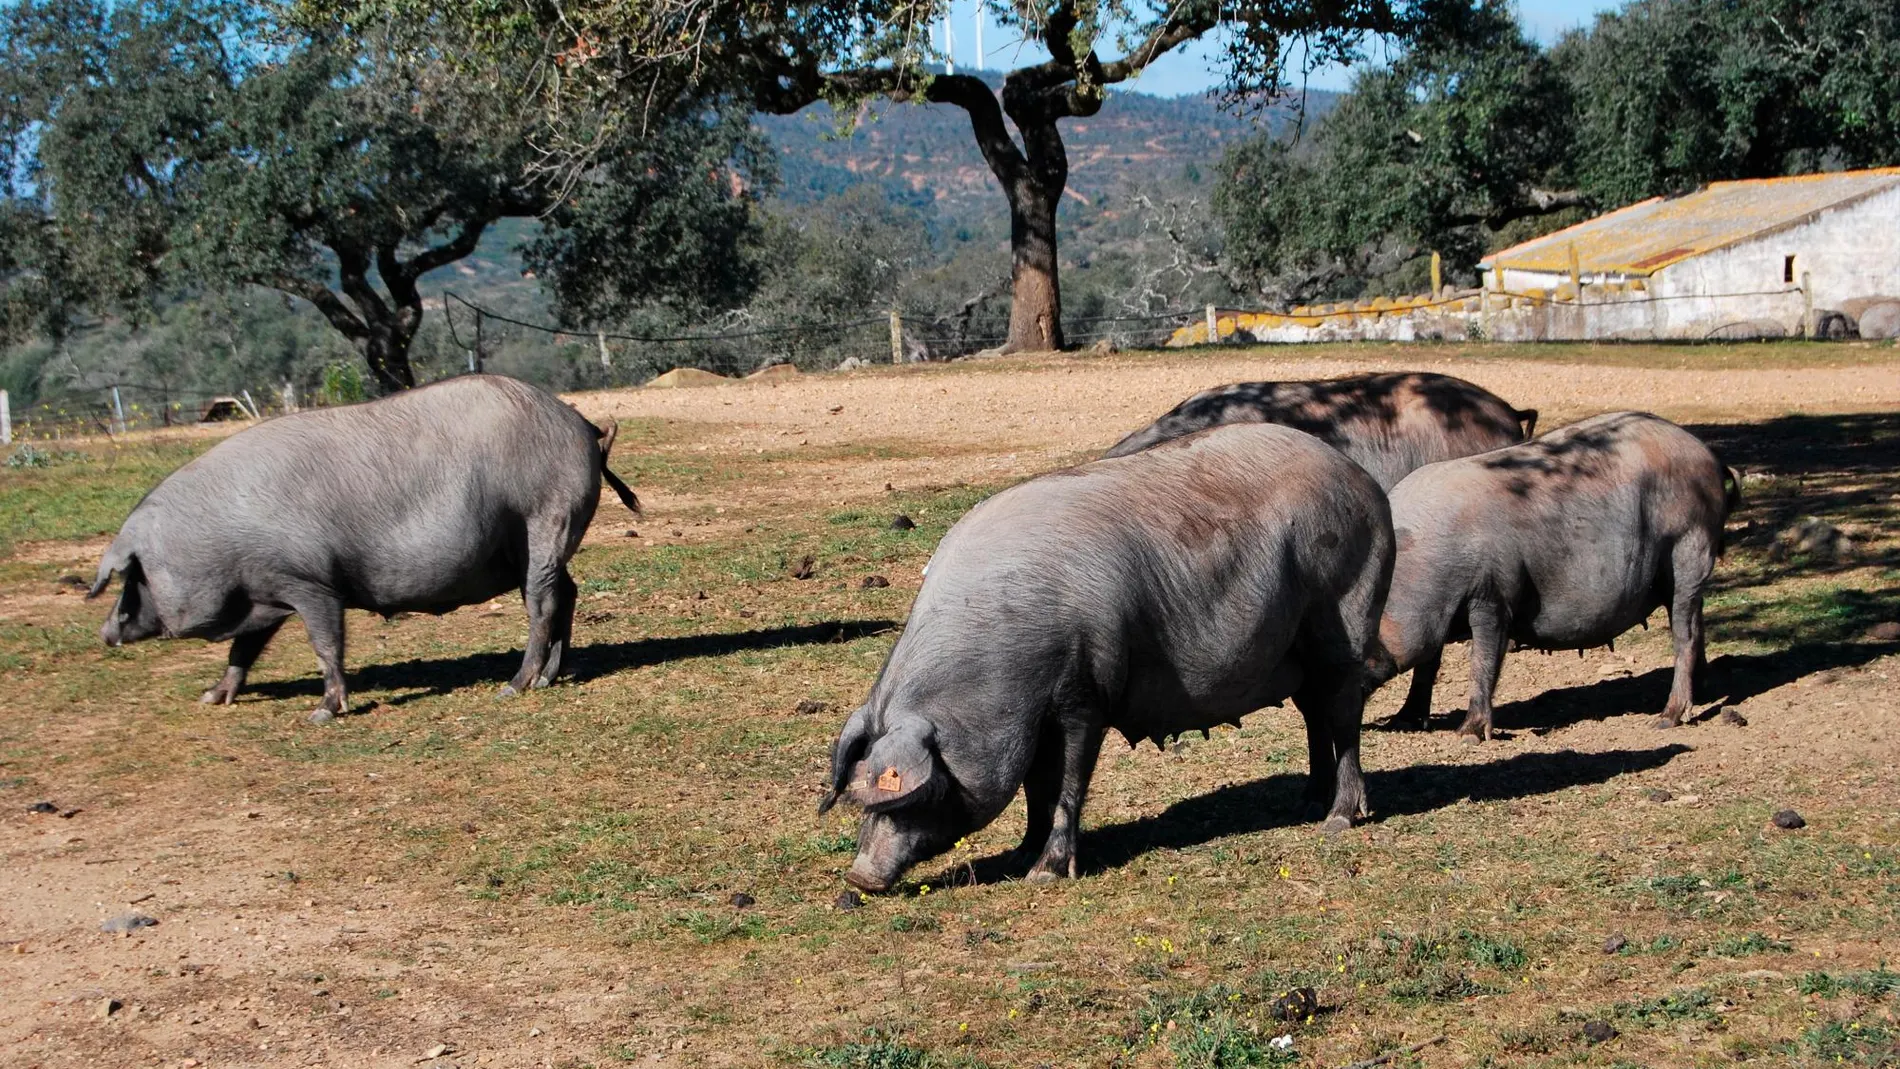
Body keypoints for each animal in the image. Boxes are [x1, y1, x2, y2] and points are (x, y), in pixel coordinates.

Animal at [88, 374, 641, 723]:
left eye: (132, 576)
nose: (104, 631)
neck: (219, 538)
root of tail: (585, 429)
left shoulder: (308, 582)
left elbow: (325, 644)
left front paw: (320, 713)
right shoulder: (264, 590)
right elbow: (243, 646)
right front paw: (212, 699)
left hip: (546, 515)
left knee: (542, 601)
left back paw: (516, 685)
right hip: (529, 544)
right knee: (565, 591)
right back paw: (549, 677)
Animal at [819, 423, 1395, 892]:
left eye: (910, 796)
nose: (860, 877)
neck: (1001, 666)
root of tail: (1361, 480)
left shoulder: (1083, 695)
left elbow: (1067, 784)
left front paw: (1045, 874)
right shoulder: (1036, 720)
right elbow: (1036, 786)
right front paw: (1023, 856)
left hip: (1345, 610)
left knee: (1344, 713)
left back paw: (1338, 819)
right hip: (1298, 649)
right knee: (1314, 712)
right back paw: (1307, 803)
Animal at [1374, 411, 1741, 740]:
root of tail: (1708, 455)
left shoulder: (1494, 593)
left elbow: (1483, 659)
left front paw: (1469, 734)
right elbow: (1428, 665)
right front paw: (1402, 721)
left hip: (1690, 547)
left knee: (1684, 633)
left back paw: (1666, 718)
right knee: (1698, 621)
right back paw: (1701, 691)